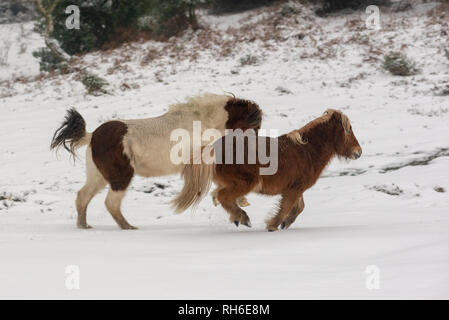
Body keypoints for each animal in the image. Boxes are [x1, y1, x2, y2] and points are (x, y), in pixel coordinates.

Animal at [51, 93, 262, 230]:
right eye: (254, 126)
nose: (254, 149)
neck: (203, 122)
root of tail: (92, 135)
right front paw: (239, 211)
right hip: (120, 177)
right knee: (110, 202)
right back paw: (128, 227)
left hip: (99, 177)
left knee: (83, 197)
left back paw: (84, 225)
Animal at [174, 109, 360, 231]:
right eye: (348, 129)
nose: (358, 152)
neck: (307, 150)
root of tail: (214, 148)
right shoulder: (293, 190)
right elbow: (286, 208)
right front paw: (273, 225)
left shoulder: (296, 188)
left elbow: (299, 207)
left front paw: (285, 223)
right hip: (245, 183)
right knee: (223, 196)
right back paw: (242, 218)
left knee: (218, 195)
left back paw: (237, 216)